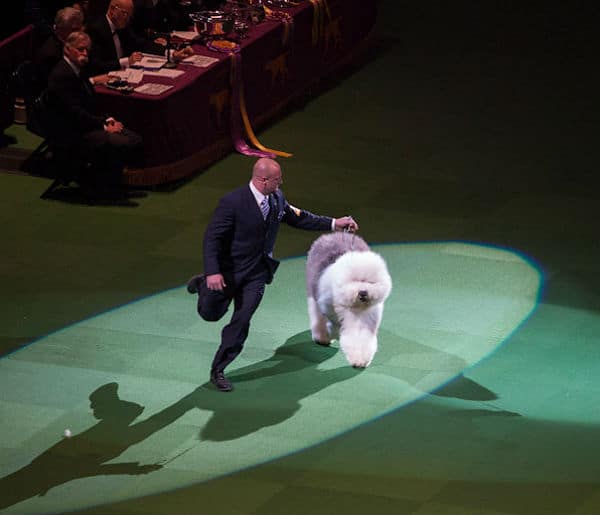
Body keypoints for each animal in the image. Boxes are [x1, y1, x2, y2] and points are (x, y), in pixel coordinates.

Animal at [304, 232, 394, 368]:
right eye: (354, 280)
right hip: (314, 293)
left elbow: (361, 337)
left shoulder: (367, 318)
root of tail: (330, 235)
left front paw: (361, 360)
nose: (363, 292)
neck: (357, 308)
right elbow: (341, 329)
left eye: (370, 282)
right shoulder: (330, 307)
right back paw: (321, 337)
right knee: (317, 317)